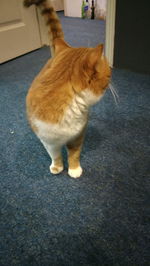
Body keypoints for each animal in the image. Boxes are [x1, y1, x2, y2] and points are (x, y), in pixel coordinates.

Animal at [24, 0, 110, 179]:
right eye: (108, 74)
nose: (112, 73)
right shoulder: (47, 139)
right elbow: (54, 154)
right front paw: (57, 167)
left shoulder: (78, 134)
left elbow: (74, 153)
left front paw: (74, 169)